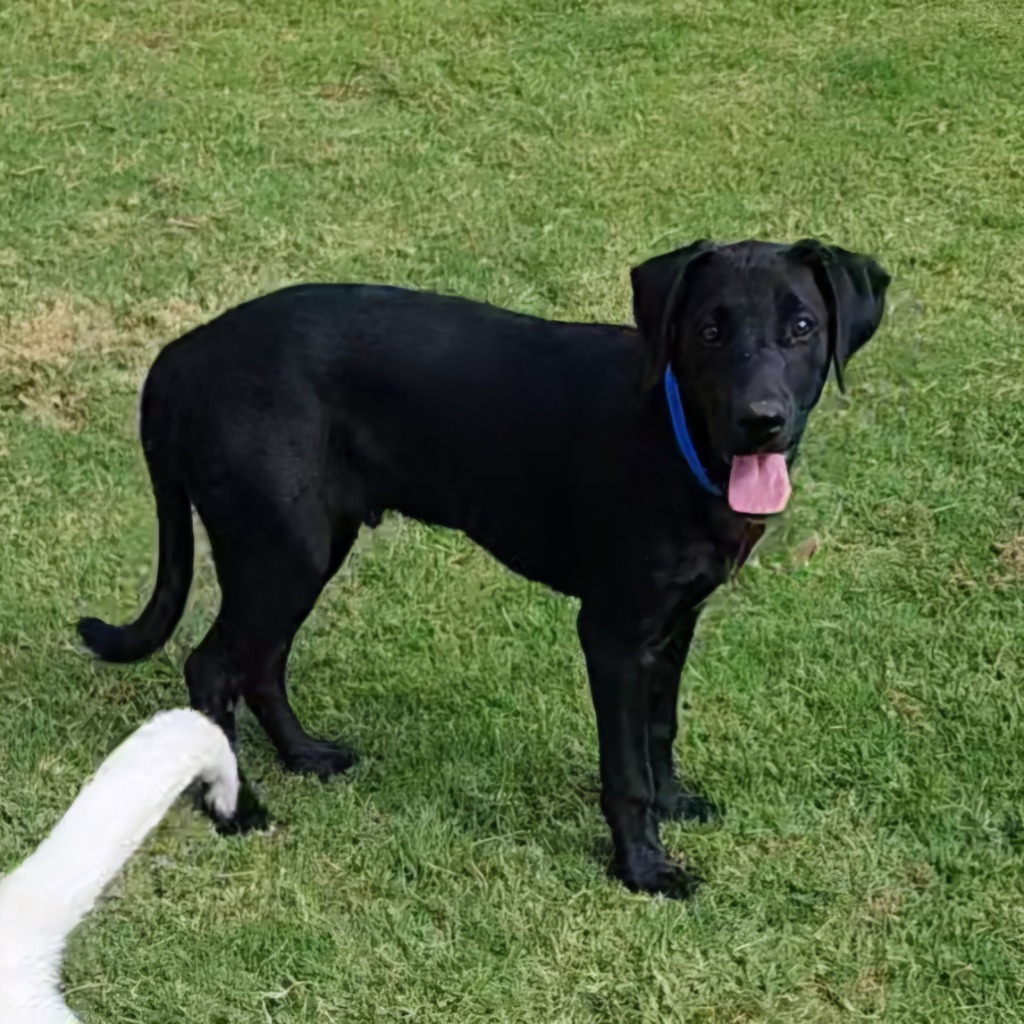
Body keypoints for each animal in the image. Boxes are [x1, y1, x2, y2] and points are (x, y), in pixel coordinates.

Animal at [81, 239, 888, 897]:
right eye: (708, 331)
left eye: (803, 327)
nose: (762, 420)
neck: (675, 432)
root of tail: (186, 350)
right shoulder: (614, 632)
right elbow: (624, 768)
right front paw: (643, 868)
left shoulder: (676, 621)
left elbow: (660, 730)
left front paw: (674, 805)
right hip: (281, 548)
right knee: (213, 667)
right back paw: (238, 809)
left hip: (305, 547)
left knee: (262, 662)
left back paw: (306, 755)